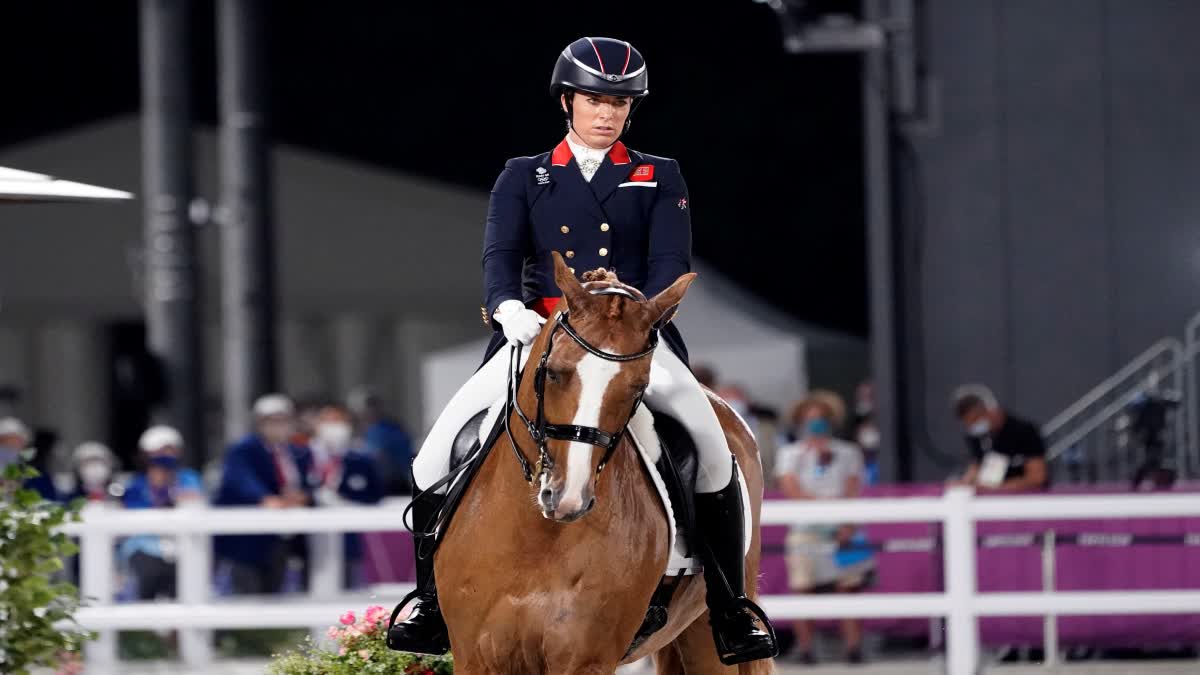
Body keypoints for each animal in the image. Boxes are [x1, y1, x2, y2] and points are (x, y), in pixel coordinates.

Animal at [436, 253, 772, 672]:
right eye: (553, 373)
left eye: (638, 387)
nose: (568, 497)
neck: (536, 538)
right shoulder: (477, 657)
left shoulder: (585, 658)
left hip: (707, 632)